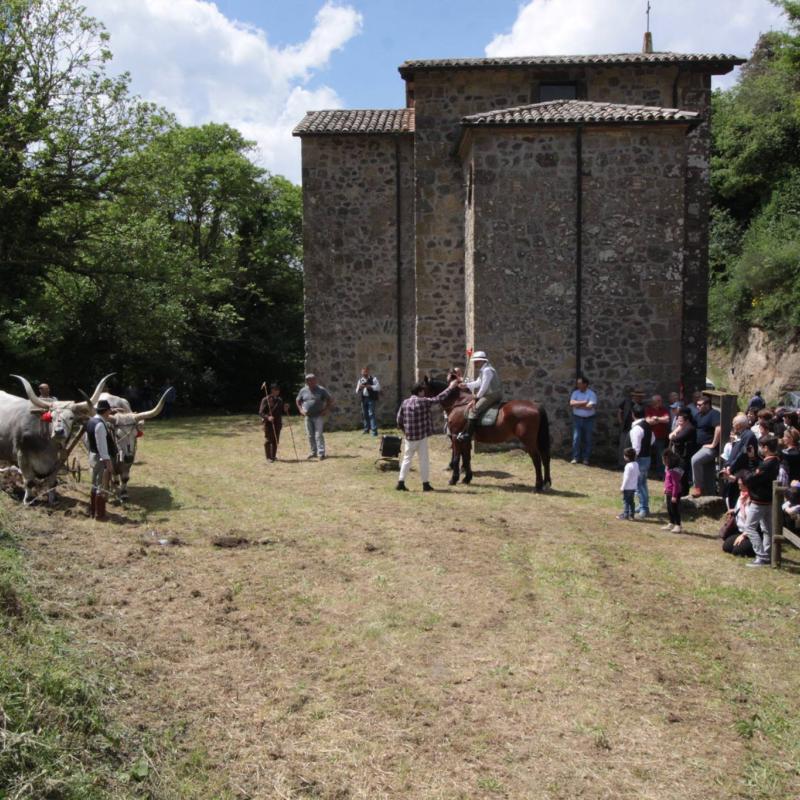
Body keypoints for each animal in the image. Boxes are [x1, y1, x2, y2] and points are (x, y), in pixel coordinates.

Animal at [424, 376, 552, 494]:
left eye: (422, 388)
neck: (458, 403)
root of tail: (536, 406)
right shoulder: (465, 439)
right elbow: (466, 458)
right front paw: (467, 478)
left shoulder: (456, 437)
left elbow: (456, 458)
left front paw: (453, 479)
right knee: (545, 458)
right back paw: (546, 484)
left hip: (528, 441)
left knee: (537, 459)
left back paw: (538, 486)